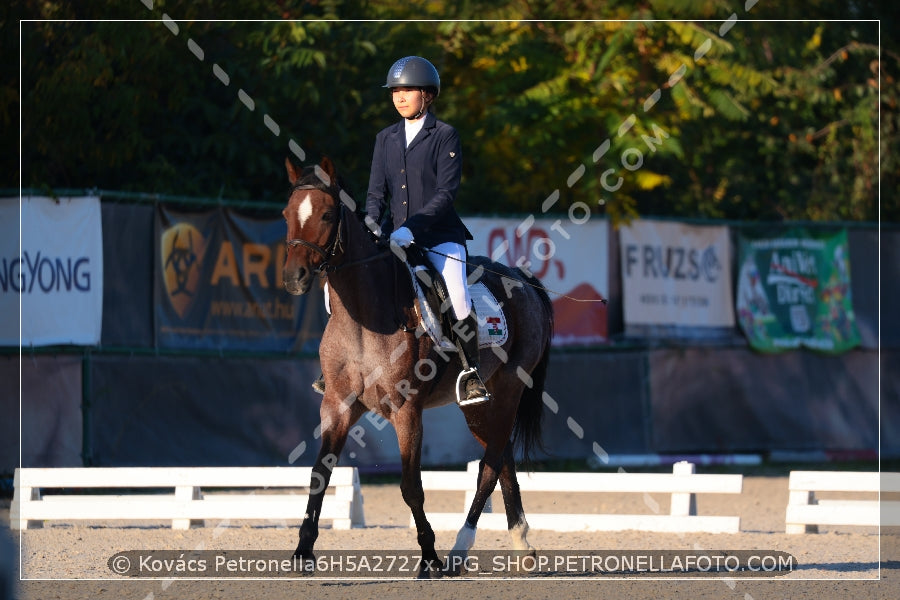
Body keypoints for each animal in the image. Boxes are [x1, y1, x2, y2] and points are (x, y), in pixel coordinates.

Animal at [282, 156, 552, 576]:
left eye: (326, 214)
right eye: (286, 214)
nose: (294, 278)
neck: (362, 318)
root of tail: (522, 279)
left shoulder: (406, 410)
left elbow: (411, 486)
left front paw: (429, 557)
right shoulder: (338, 406)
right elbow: (318, 475)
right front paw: (302, 552)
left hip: (510, 389)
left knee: (490, 466)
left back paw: (459, 549)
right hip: (478, 404)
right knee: (502, 457)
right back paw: (520, 544)